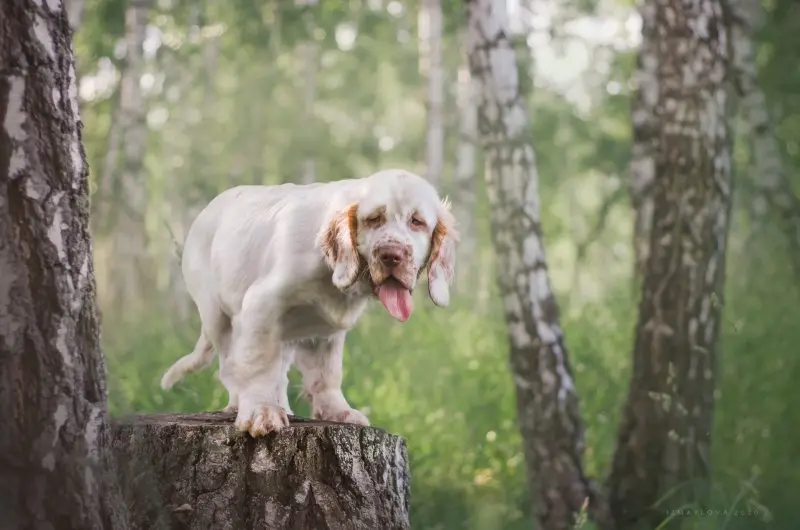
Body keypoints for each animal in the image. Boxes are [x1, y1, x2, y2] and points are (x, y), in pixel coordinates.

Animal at [159, 167, 456, 436]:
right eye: (373, 219)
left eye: (417, 222)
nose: (390, 255)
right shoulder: (261, 305)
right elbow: (258, 363)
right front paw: (260, 412)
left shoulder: (324, 331)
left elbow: (326, 375)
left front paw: (339, 412)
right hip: (216, 316)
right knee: (230, 365)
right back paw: (238, 404)